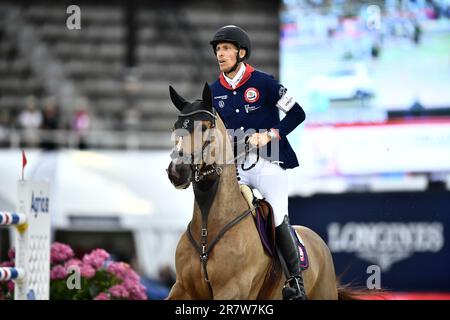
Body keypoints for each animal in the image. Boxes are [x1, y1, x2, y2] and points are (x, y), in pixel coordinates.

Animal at [167, 83, 346, 300]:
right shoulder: (181, 288)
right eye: (175, 127)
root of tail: (318, 241)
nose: (177, 171)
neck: (208, 227)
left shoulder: (231, 290)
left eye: (204, 127)